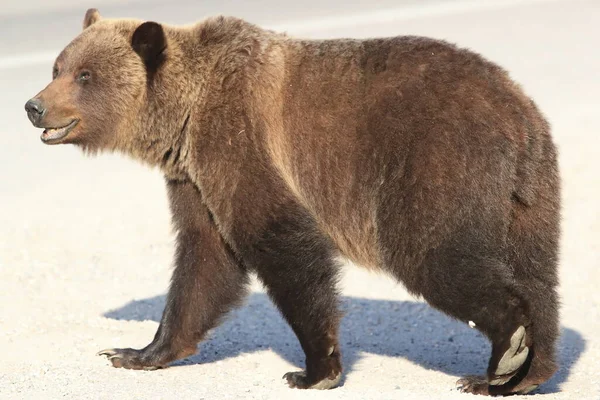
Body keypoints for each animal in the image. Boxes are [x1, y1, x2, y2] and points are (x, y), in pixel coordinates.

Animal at [24, 7, 556, 396]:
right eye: (58, 67)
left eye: (85, 75)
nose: (33, 105)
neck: (183, 117)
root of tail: (518, 113)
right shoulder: (194, 179)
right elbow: (204, 261)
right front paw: (136, 353)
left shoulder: (237, 138)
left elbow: (277, 240)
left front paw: (314, 369)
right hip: (527, 199)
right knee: (537, 272)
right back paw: (527, 372)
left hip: (436, 161)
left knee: (432, 253)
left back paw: (503, 352)